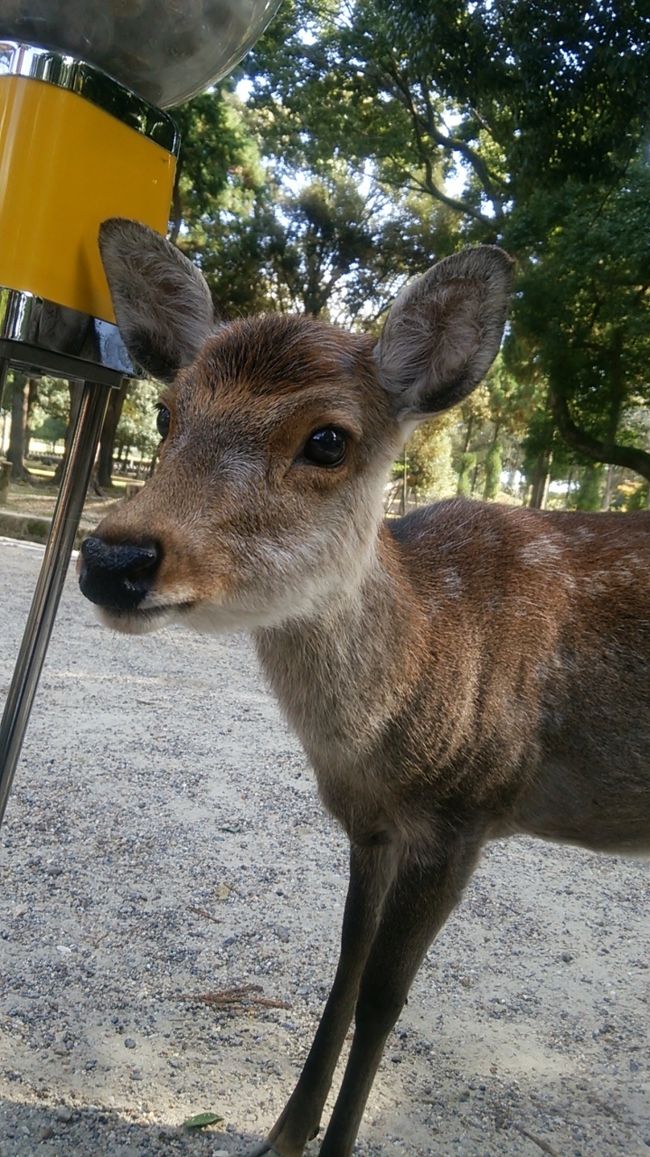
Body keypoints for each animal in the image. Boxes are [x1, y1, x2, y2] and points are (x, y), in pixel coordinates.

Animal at [78, 218, 650, 1157]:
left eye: (328, 439)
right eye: (166, 412)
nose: (113, 556)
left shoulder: (466, 815)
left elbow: (386, 995)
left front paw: (335, 1138)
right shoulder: (367, 822)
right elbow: (344, 967)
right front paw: (284, 1131)